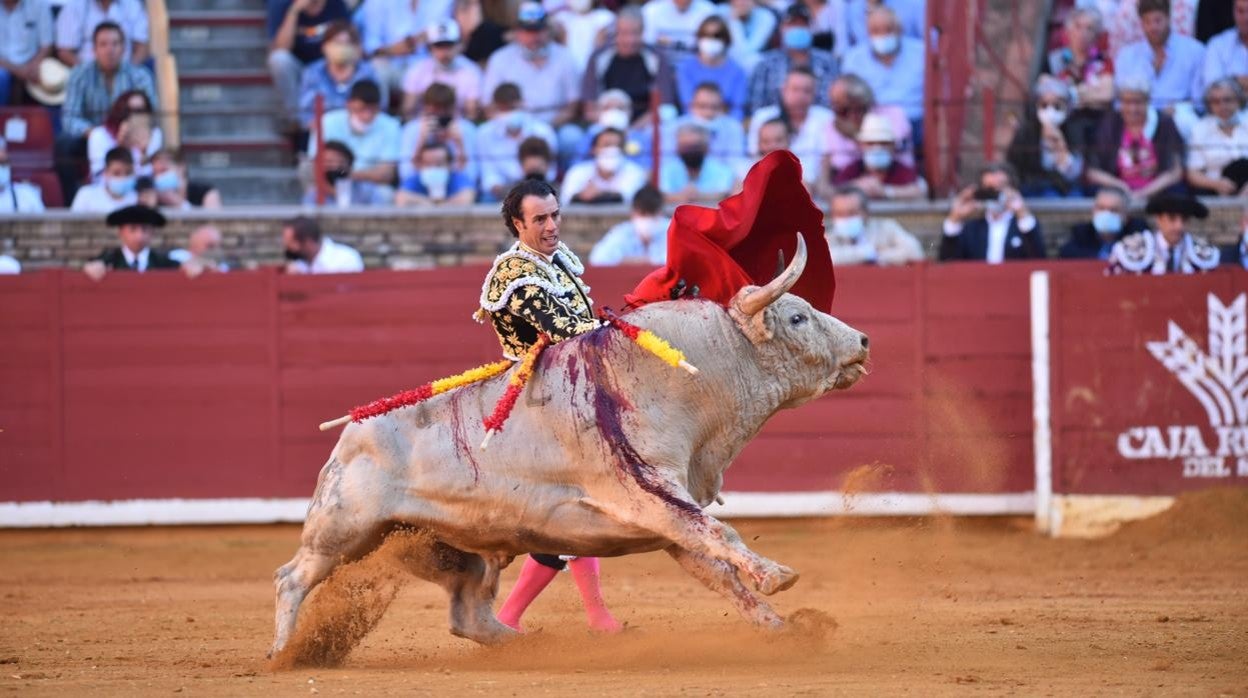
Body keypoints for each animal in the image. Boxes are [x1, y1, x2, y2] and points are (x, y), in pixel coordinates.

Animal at [268, 237, 868, 659]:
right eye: (797, 316)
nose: (862, 341)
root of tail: (350, 434)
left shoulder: (669, 518)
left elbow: (718, 571)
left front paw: (785, 628)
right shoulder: (650, 493)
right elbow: (722, 535)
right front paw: (778, 576)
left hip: (451, 544)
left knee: (467, 613)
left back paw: (528, 642)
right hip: (345, 528)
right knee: (293, 576)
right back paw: (282, 653)